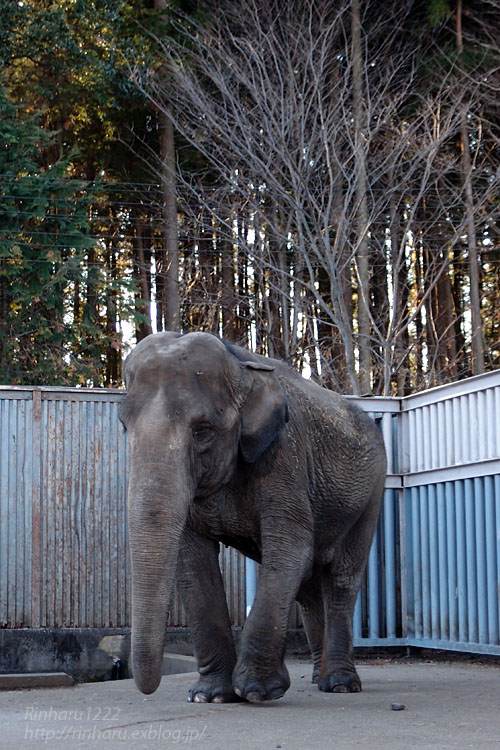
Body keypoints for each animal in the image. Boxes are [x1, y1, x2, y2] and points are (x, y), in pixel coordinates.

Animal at [118, 332, 386, 704]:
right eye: (123, 425)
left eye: (203, 430)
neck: (239, 365)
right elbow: (193, 562)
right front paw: (210, 696)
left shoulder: (284, 455)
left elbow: (289, 549)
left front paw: (257, 692)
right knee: (308, 588)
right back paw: (318, 678)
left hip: (370, 494)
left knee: (341, 578)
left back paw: (341, 685)